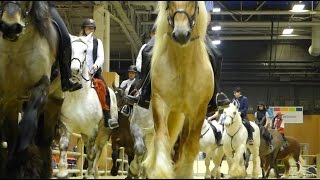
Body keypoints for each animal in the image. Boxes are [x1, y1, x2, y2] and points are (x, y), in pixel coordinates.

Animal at [0, 1, 65, 179]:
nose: (10, 27)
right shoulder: (5, 95)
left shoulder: (41, 87)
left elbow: (27, 125)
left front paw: (22, 165)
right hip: (12, 103)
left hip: (53, 104)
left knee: (44, 142)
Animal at [56, 33, 117, 179]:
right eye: (71, 49)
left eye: (85, 50)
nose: (74, 70)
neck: (79, 96)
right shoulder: (66, 125)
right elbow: (63, 146)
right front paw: (62, 172)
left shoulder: (92, 130)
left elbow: (90, 154)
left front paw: (88, 175)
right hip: (84, 134)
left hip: (104, 134)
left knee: (97, 152)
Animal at [142, 1, 214, 179]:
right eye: (169, 4)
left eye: (193, 3)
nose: (181, 34)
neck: (183, 66)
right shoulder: (159, 102)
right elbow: (162, 138)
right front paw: (160, 171)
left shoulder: (199, 110)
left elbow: (191, 146)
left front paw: (183, 172)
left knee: (182, 145)